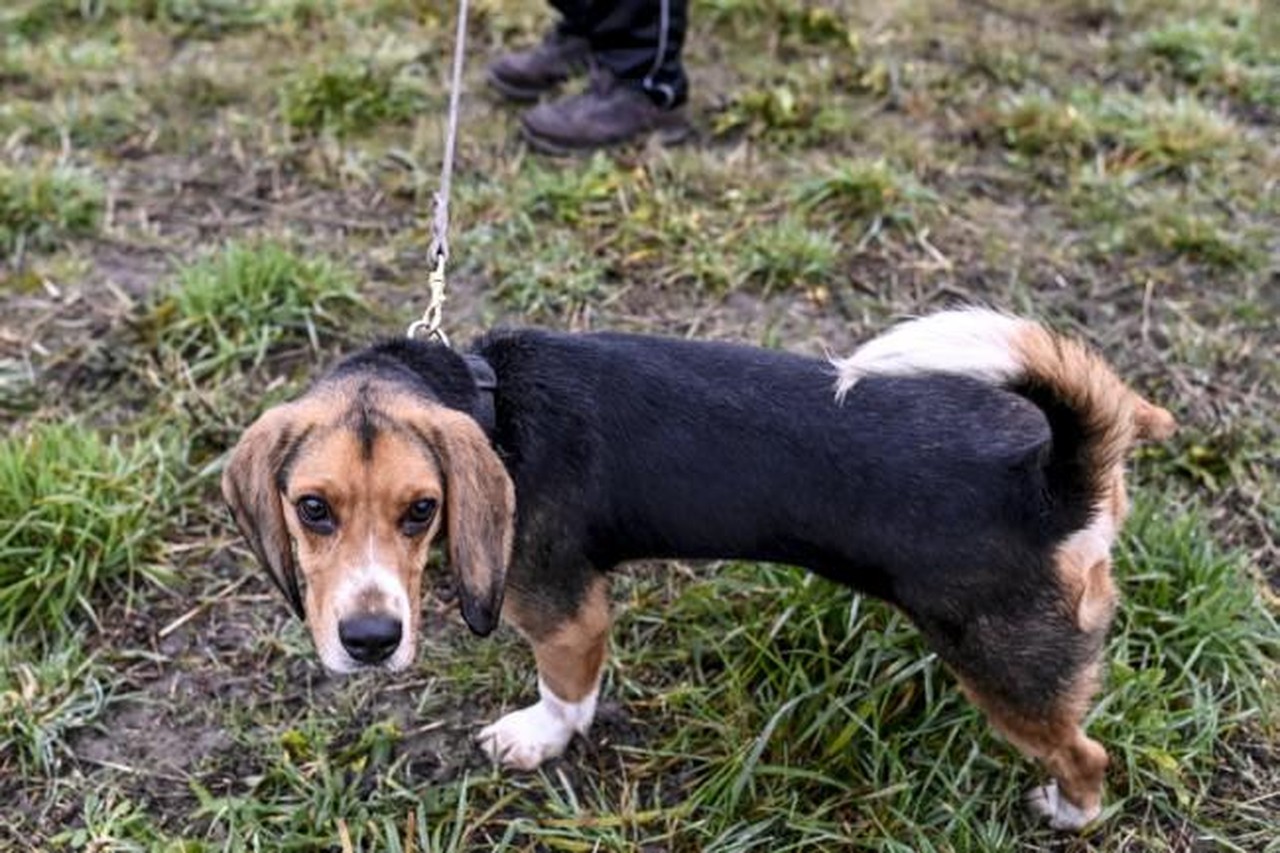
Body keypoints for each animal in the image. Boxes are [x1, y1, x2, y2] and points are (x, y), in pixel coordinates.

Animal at [220, 308, 1172, 824]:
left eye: (421, 510)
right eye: (313, 508)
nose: (371, 639)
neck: (488, 402)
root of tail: (1051, 481)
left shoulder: (566, 614)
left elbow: (567, 692)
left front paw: (539, 736)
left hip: (1013, 677)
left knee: (1087, 754)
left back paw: (1068, 810)